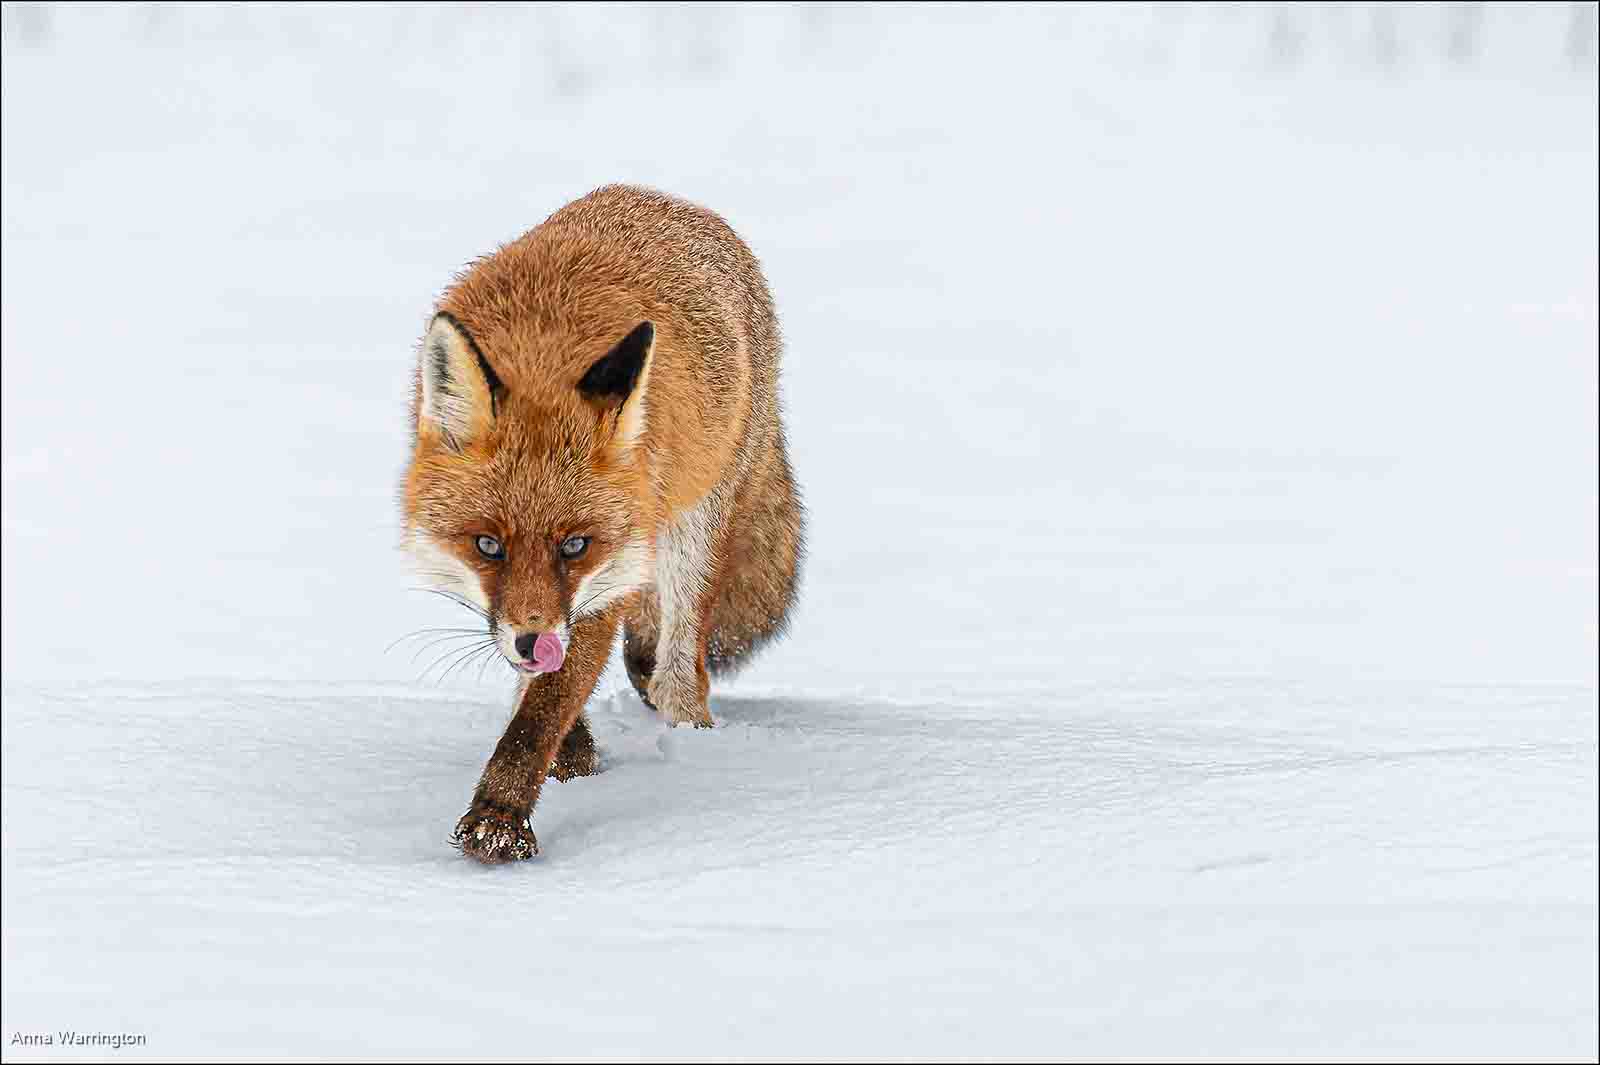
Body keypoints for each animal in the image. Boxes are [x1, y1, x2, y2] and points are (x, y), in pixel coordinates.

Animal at [400, 185, 804, 863]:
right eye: (487, 545)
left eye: (575, 545)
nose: (533, 643)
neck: (542, 351)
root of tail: (669, 199)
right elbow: (541, 691)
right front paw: (569, 757)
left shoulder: (608, 573)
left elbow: (541, 713)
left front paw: (498, 820)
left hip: (691, 536)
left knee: (680, 675)